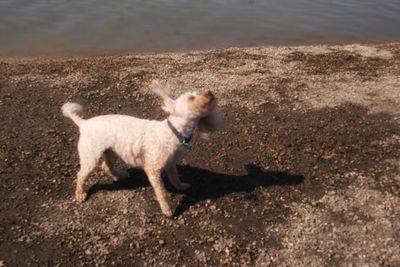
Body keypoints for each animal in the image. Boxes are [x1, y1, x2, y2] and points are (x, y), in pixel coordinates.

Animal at [62, 81, 222, 218]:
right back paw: (80, 194)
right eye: (191, 97)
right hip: (91, 157)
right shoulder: (152, 169)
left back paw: (119, 175)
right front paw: (167, 209)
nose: (210, 92)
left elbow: (175, 177)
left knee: (105, 166)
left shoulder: (170, 163)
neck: (174, 131)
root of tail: (83, 123)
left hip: (111, 150)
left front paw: (181, 186)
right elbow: (162, 192)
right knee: (81, 175)